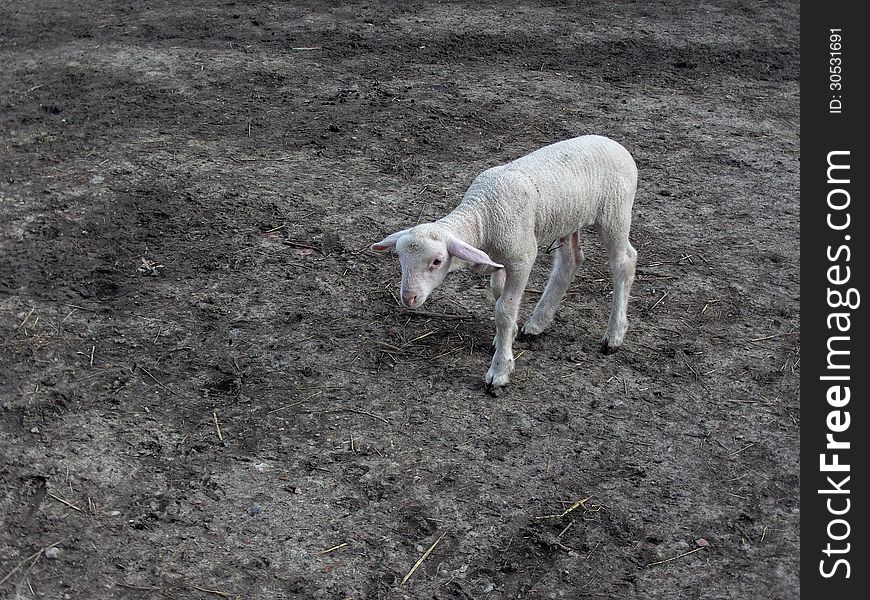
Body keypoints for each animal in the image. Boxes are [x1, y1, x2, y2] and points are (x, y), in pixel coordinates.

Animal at [372, 134, 636, 392]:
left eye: (437, 261)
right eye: (400, 258)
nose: (408, 298)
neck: (483, 214)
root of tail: (618, 146)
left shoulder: (522, 257)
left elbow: (504, 310)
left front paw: (500, 370)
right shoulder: (498, 258)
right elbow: (498, 292)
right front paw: (506, 337)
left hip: (615, 214)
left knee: (624, 262)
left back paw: (614, 335)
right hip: (569, 218)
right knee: (570, 260)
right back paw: (538, 323)